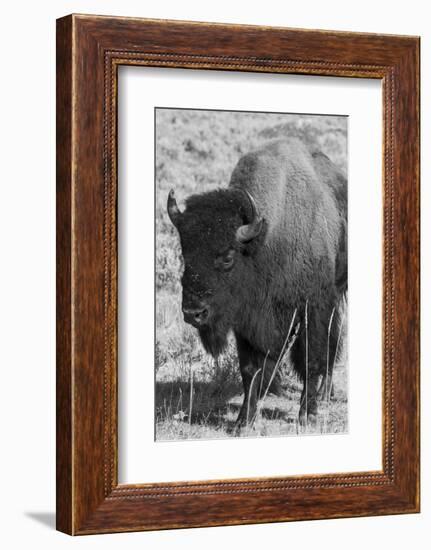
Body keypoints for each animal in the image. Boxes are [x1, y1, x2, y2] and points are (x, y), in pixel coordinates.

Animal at [166, 138, 348, 432]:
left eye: (228, 257)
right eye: (185, 254)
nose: (194, 313)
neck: (266, 240)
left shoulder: (313, 308)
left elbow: (311, 358)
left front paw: (306, 415)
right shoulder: (247, 318)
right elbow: (250, 368)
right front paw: (243, 421)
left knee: (332, 343)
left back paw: (323, 395)